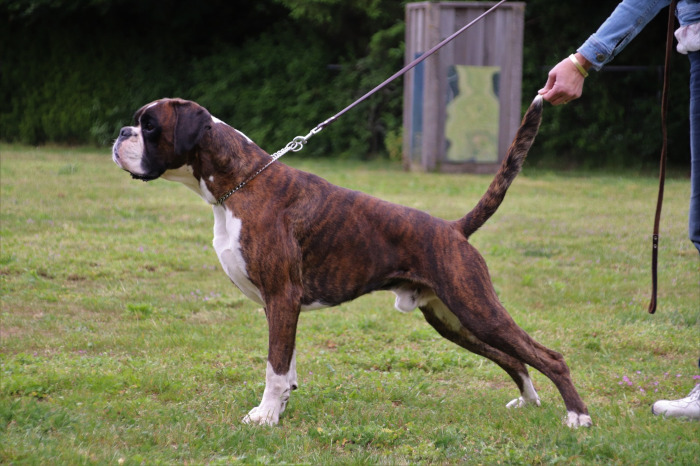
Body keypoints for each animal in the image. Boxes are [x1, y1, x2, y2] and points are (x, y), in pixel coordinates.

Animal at [112, 96, 592, 428]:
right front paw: (280, 408)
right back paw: (528, 401)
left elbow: (274, 367)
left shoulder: (282, 296)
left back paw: (578, 417)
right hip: (454, 320)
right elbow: (286, 365)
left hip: (475, 308)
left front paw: (264, 417)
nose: (120, 132)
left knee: (548, 356)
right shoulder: (277, 306)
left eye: (150, 125)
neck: (240, 184)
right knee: (514, 359)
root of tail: (453, 229)